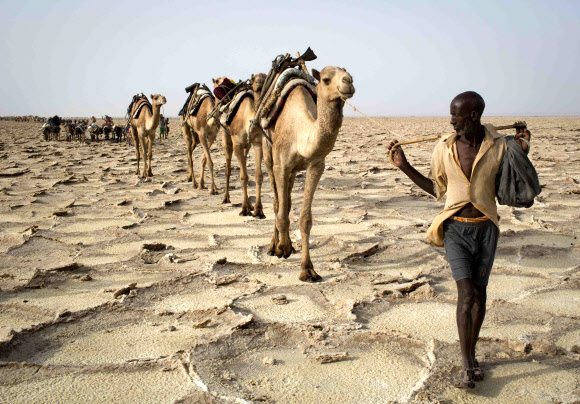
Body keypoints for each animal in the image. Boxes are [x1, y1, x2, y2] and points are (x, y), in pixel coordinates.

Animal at [219, 73, 268, 218]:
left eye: (265, 76)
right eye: (254, 78)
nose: (260, 81)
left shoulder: (257, 142)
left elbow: (258, 175)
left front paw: (258, 210)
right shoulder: (237, 143)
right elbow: (243, 177)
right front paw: (244, 209)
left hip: (247, 145)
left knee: (245, 160)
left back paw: (251, 205)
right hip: (226, 136)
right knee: (228, 167)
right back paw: (226, 198)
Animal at [262, 66, 354, 280]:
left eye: (350, 75)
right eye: (326, 79)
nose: (348, 82)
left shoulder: (315, 165)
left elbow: (305, 218)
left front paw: (308, 269)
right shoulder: (281, 164)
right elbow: (280, 210)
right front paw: (283, 248)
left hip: (293, 172)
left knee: (286, 201)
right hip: (267, 154)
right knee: (277, 203)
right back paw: (273, 246)